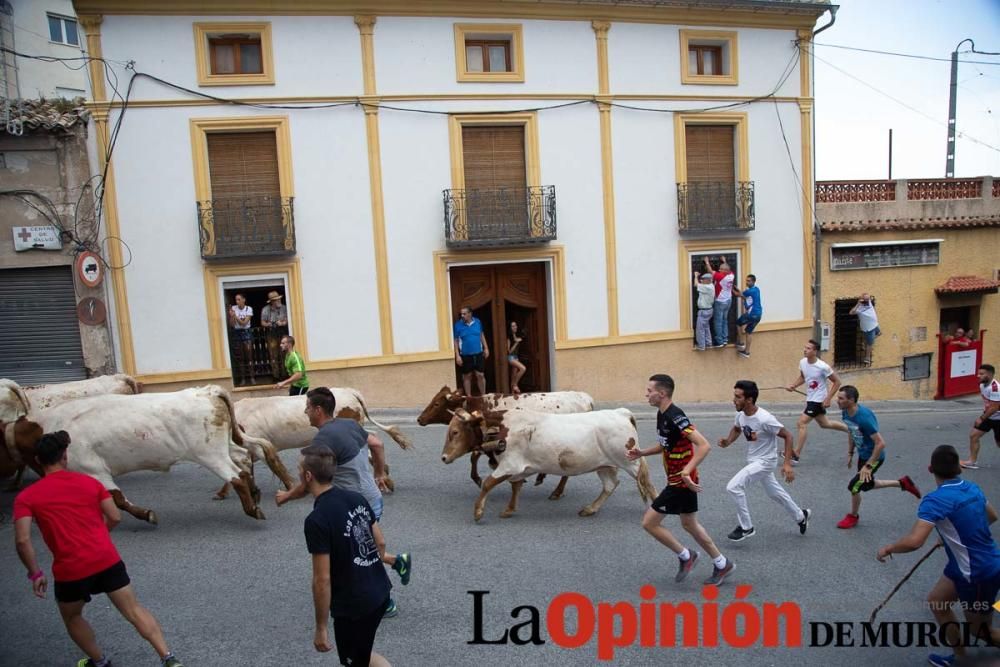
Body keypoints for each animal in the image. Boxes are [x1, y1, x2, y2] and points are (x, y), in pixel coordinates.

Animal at [20, 388, 290, 524]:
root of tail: (207, 391)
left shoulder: (94, 469)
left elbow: (118, 499)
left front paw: (146, 514)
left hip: (210, 453)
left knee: (237, 475)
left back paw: (252, 508)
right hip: (223, 446)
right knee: (244, 457)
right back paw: (254, 494)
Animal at [444, 408, 660, 520]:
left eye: (454, 432)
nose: (444, 457)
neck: (504, 427)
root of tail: (620, 412)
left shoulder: (510, 465)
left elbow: (488, 483)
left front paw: (478, 511)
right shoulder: (517, 469)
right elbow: (515, 486)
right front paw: (509, 509)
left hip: (630, 461)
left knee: (647, 483)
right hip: (605, 465)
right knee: (610, 485)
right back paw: (591, 508)